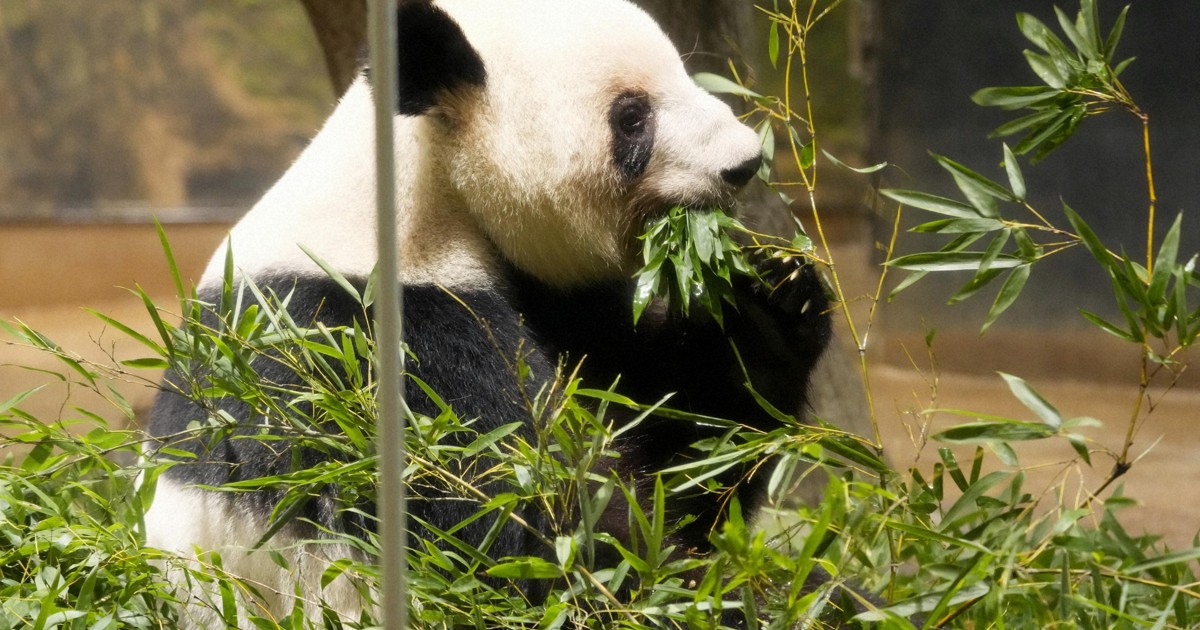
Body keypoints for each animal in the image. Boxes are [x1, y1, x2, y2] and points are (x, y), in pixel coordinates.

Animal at [144, 0, 831, 625]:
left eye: (687, 74)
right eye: (633, 116)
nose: (744, 162)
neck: (422, 187)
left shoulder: (568, 304)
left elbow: (686, 452)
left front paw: (770, 295)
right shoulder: (379, 346)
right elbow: (518, 533)